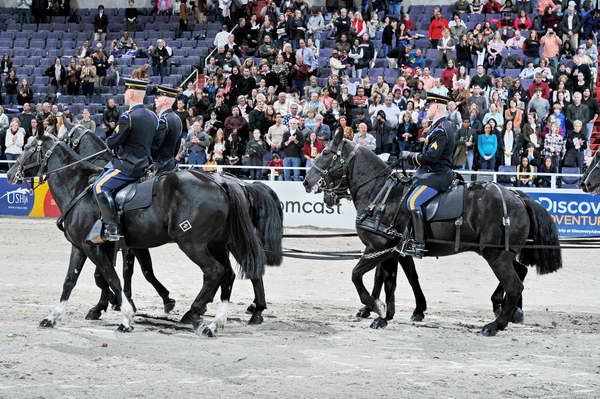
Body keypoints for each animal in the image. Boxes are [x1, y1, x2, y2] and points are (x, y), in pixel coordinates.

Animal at [7, 135, 278, 338]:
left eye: (28, 148)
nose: (10, 174)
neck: (79, 187)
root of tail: (220, 182)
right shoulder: (82, 247)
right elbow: (71, 282)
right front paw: (53, 317)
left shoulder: (97, 248)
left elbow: (113, 278)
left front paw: (125, 316)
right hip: (217, 243)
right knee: (229, 275)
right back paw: (216, 321)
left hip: (194, 244)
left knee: (216, 272)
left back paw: (197, 313)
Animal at [304, 131, 564, 338]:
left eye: (326, 152)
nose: (307, 181)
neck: (380, 193)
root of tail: (517, 196)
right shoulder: (393, 251)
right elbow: (393, 280)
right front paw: (391, 313)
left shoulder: (378, 247)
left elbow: (358, 276)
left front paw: (376, 308)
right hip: (502, 254)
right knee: (519, 274)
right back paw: (509, 312)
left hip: (496, 255)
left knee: (514, 285)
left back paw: (495, 324)